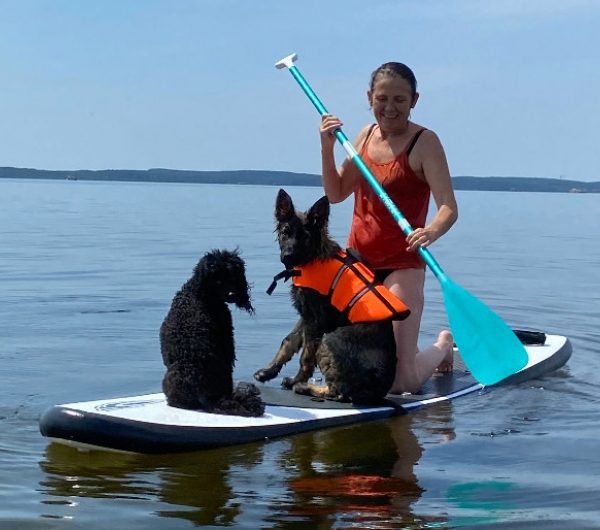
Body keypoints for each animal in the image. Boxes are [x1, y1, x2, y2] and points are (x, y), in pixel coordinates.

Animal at [253, 188, 408, 402]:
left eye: (305, 236)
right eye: (285, 233)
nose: (288, 257)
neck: (312, 257)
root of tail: (375, 394)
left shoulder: (315, 321)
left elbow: (306, 356)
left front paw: (296, 380)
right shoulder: (306, 314)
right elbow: (289, 341)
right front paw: (268, 372)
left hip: (329, 339)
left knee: (339, 391)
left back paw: (304, 387)